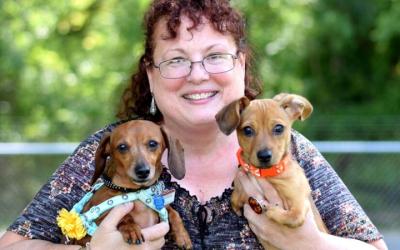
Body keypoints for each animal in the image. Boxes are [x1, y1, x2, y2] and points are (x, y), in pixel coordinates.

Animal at [217, 93, 326, 248]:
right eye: (247, 130)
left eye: (279, 128)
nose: (264, 156)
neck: (267, 175)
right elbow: (235, 197)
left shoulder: (300, 202)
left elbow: (294, 218)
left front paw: (272, 211)